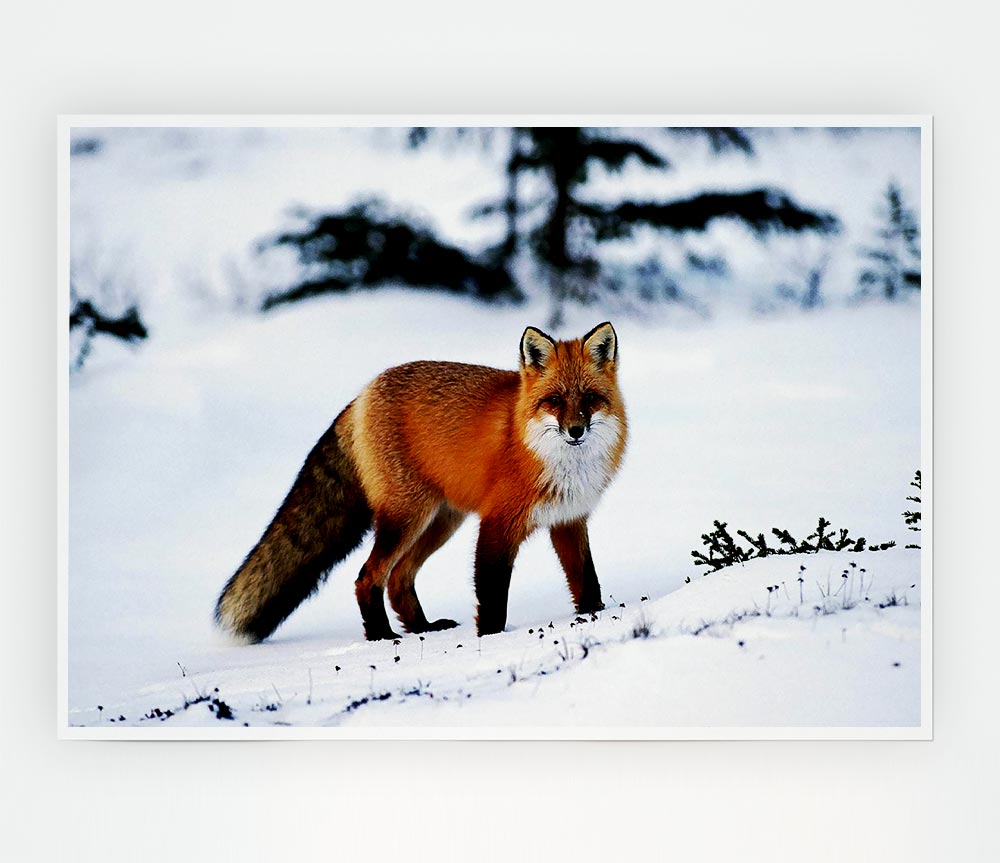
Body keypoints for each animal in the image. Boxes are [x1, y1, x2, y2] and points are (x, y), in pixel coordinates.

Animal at [215, 321, 627, 643]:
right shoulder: (497, 523)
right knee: (368, 577)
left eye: (589, 398)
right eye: (554, 400)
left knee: (398, 579)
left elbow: (587, 580)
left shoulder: (568, 519)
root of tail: (363, 393)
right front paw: (491, 639)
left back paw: (422, 628)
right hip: (406, 517)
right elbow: (492, 595)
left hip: (441, 521)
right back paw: (382, 637)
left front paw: (593, 616)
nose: (575, 431)